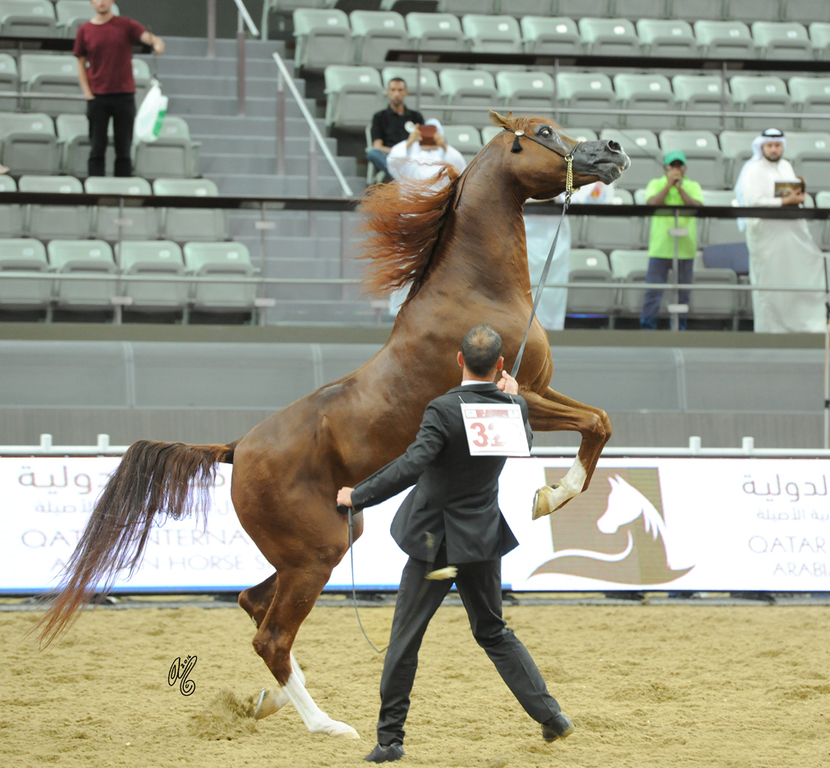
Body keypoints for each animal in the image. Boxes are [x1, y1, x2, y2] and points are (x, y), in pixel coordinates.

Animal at [35, 110, 630, 739]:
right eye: (543, 132)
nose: (613, 150)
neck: (476, 293)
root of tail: (237, 448)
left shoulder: (538, 390)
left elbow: (601, 420)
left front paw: (551, 493)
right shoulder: (516, 398)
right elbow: (595, 424)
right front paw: (552, 495)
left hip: (323, 544)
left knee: (253, 605)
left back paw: (271, 702)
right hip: (315, 553)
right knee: (270, 634)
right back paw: (326, 726)